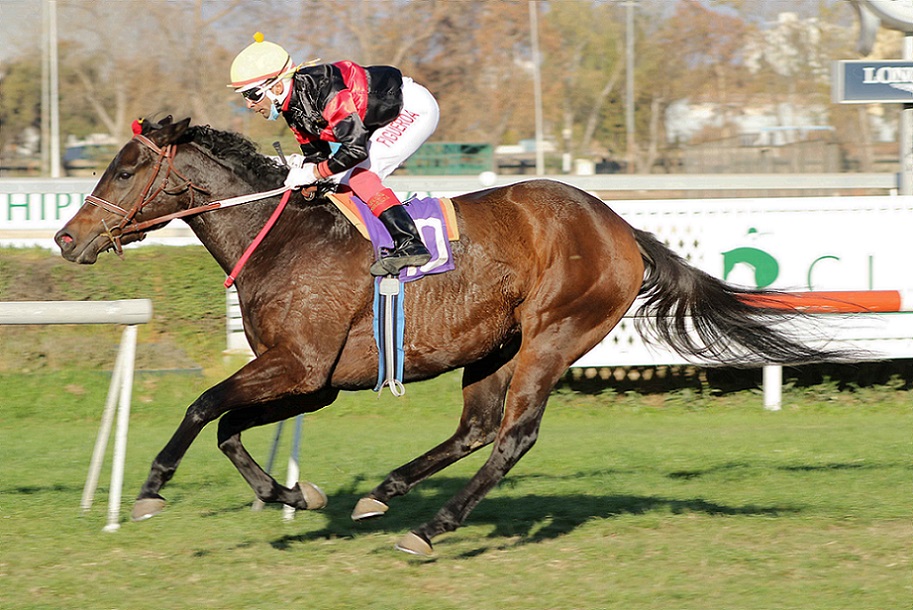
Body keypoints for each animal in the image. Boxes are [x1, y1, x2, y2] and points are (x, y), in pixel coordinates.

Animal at [56, 116, 839, 556]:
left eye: (125, 168)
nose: (66, 238)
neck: (283, 238)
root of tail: (620, 228)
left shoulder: (298, 367)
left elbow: (201, 408)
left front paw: (151, 489)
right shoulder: (313, 380)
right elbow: (227, 427)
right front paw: (296, 496)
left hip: (553, 336)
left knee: (512, 437)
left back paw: (430, 528)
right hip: (491, 347)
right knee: (475, 430)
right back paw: (386, 491)